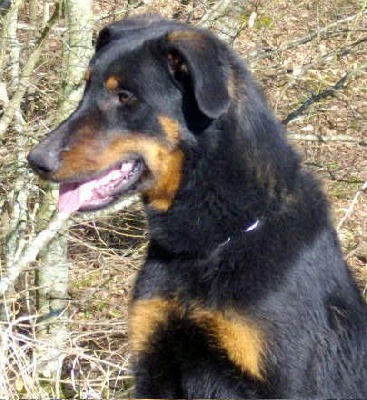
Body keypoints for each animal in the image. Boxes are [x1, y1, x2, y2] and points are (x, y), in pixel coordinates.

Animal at [28, 14, 367, 398]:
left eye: (124, 96)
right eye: (85, 90)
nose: (36, 160)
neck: (212, 244)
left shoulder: (287, 381)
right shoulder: (153, 364)